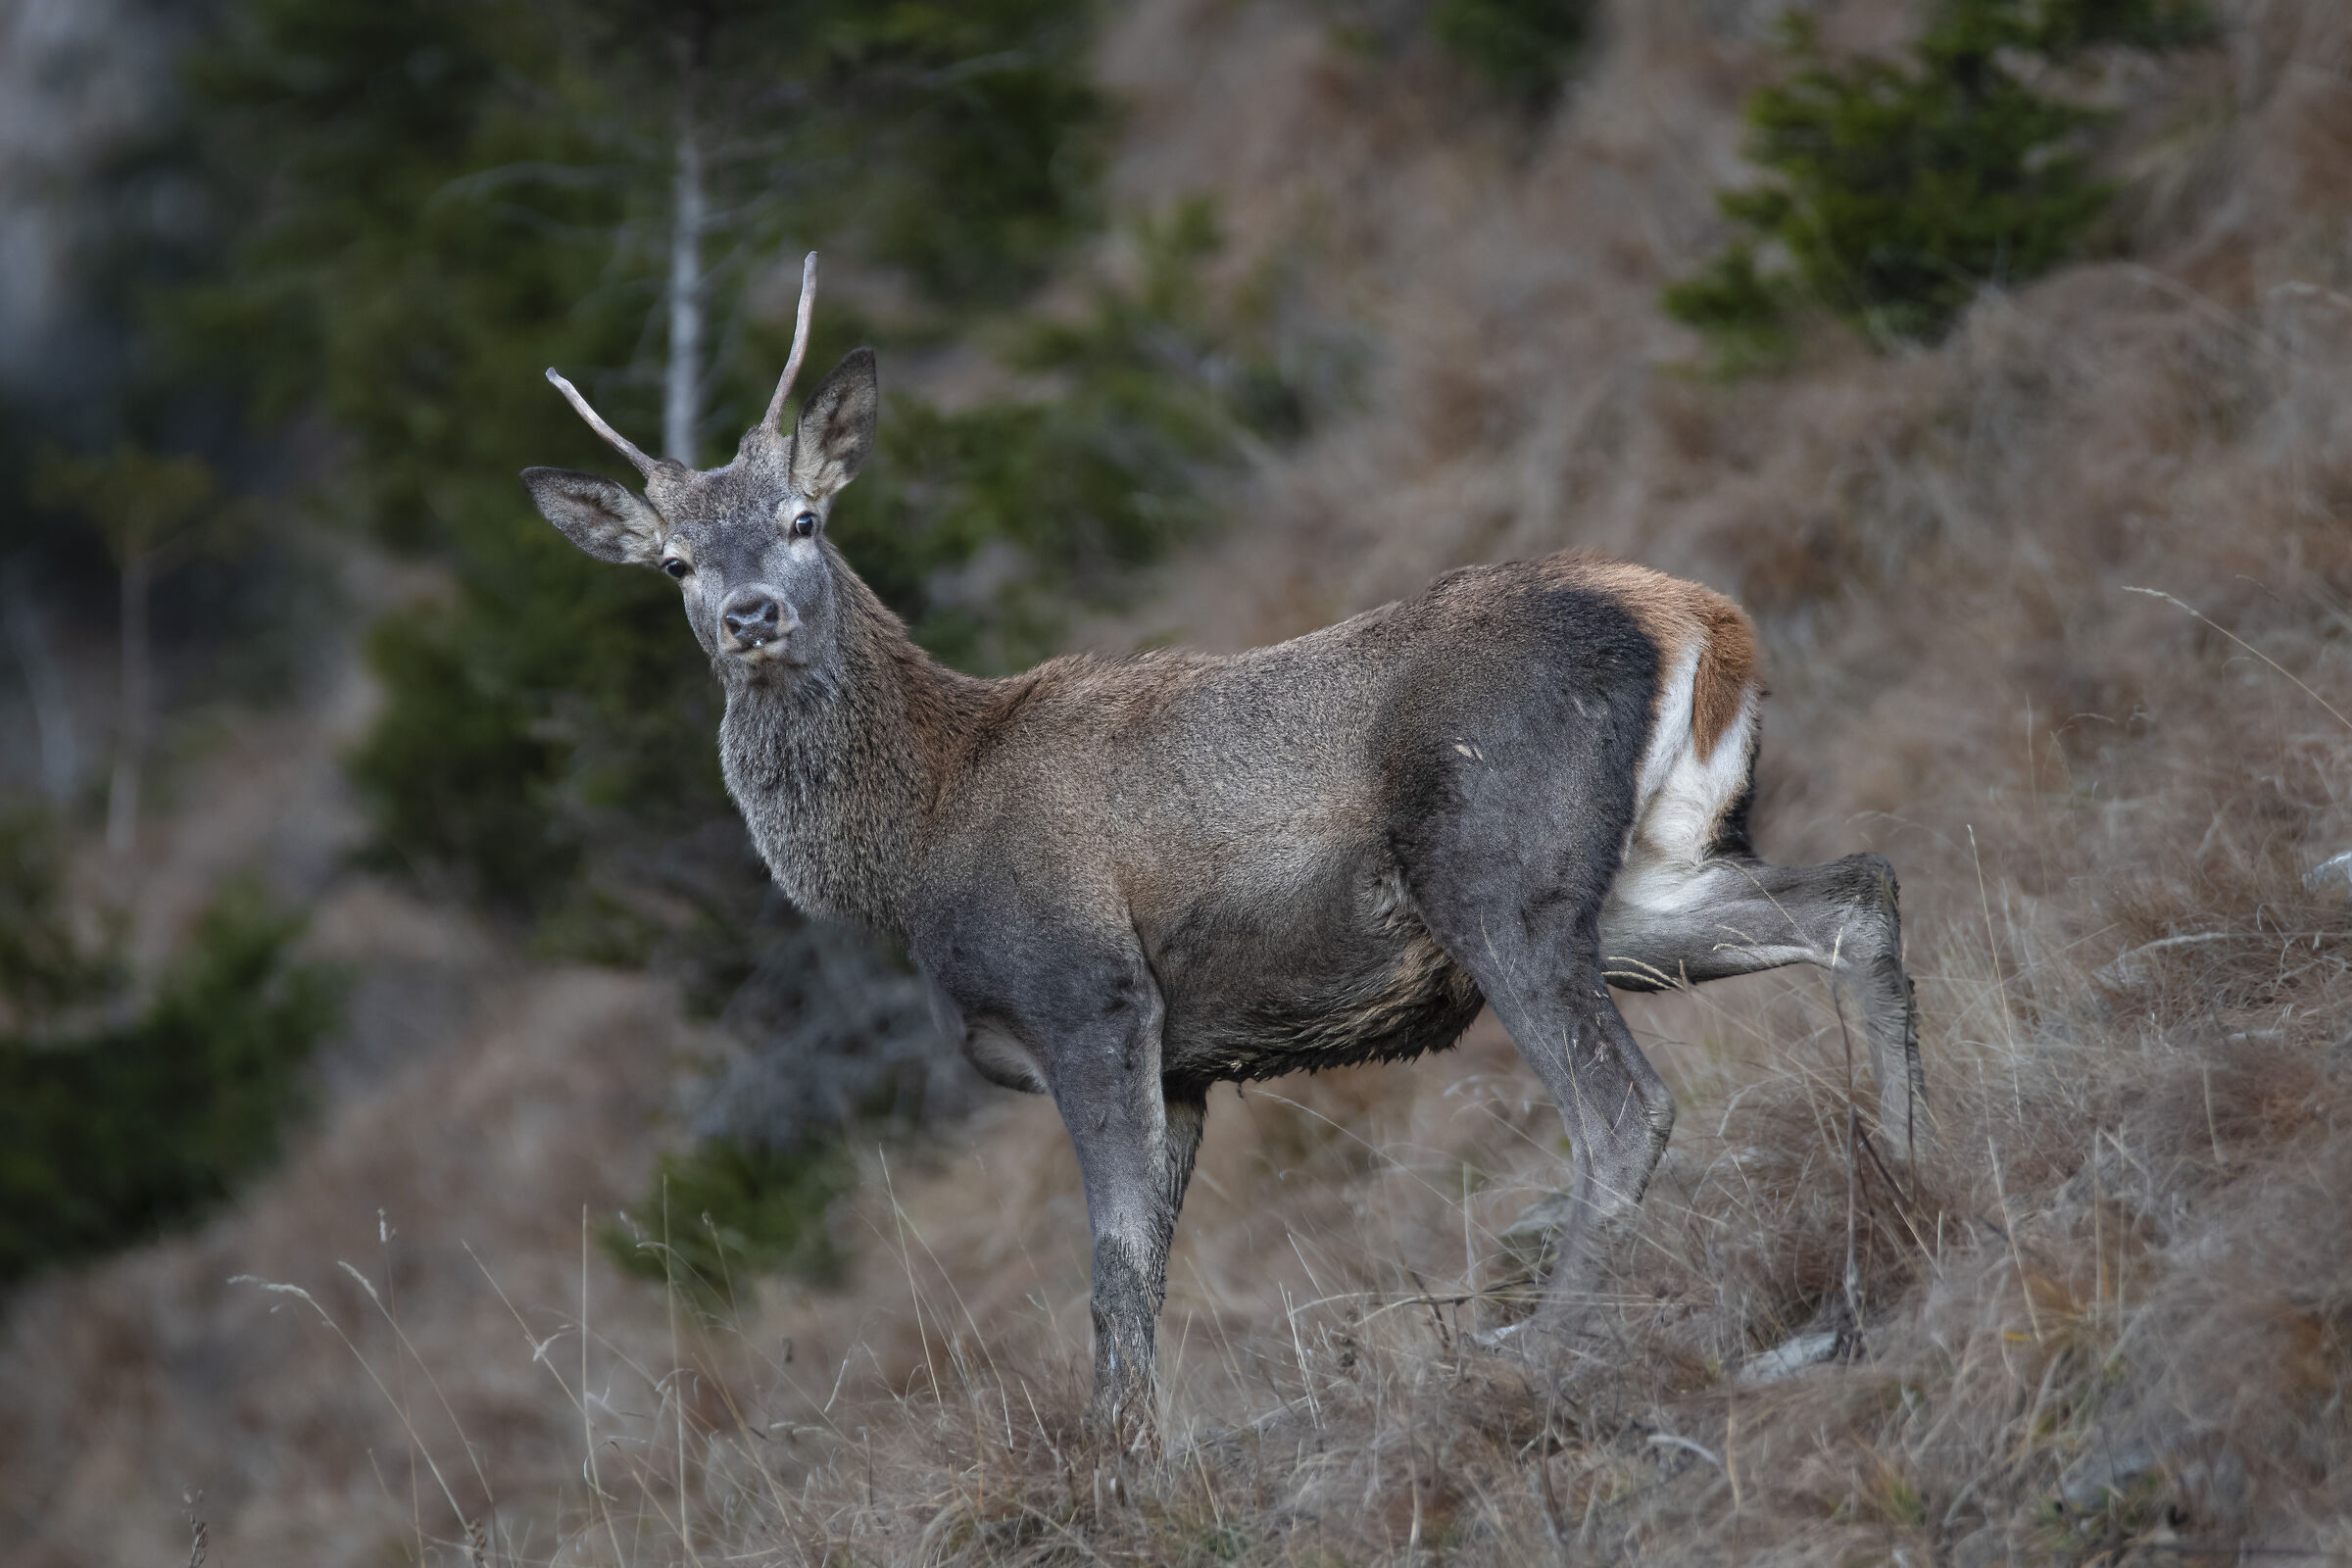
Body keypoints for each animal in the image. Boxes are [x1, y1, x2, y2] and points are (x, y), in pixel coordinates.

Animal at [523, 257, 1925, 1448]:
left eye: (805, 517)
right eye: (677, 562)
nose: (751, 614)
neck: (915, 842)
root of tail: (1700, 617)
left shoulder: (1088, 993)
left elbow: (1111, 1269)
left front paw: (1116, 1467)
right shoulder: (1187, 1059)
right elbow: (1142, 1270)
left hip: (1496, 870)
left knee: (1622, 1108)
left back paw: (1537, 1352)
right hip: (1641, 881)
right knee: (1858, 894)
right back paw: (1906, 1195)